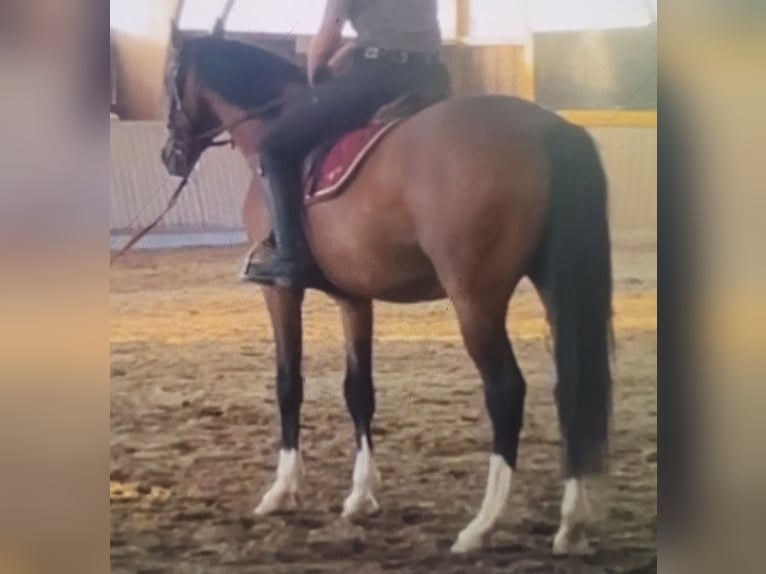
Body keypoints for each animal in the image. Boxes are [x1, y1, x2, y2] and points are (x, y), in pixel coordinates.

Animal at [161, 27, 613, 556]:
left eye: (169, 80)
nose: (169, 156)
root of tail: (547, 130)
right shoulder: (353, 297)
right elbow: (359, 390)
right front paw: (360, 497)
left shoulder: (281, 293)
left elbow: (288, 384)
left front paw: (282, 490)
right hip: (552, 285)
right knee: (571, 386)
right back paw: (571, 522)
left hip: (475, 299)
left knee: (506, 391)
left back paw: (481, 526)